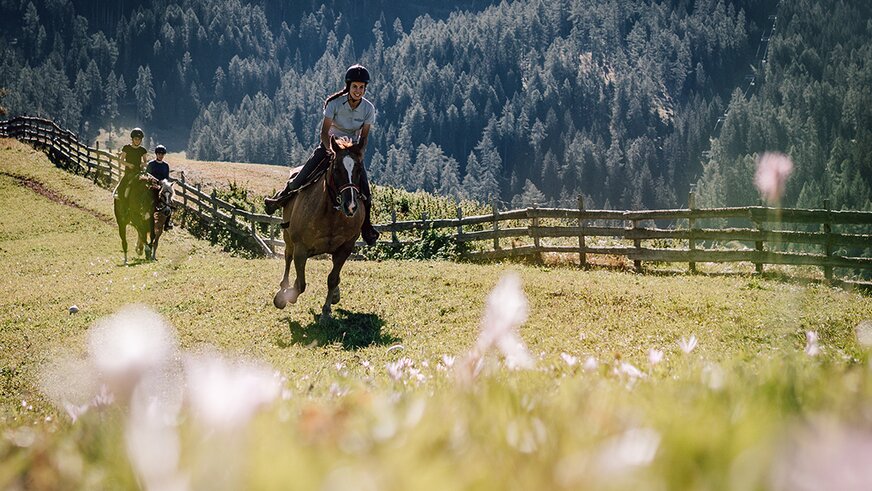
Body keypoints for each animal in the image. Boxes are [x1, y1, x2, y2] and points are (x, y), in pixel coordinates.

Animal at [274, 136, 366, 324]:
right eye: (336, 169)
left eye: (359, 169)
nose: (351, 206)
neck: (330, 213)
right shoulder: (301, 248)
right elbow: (300, 284)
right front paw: (287, 296)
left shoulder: (345, 249)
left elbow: (332, 279)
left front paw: (326, 311)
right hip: (289, 239)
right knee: (287, 257)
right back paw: (283, 289)